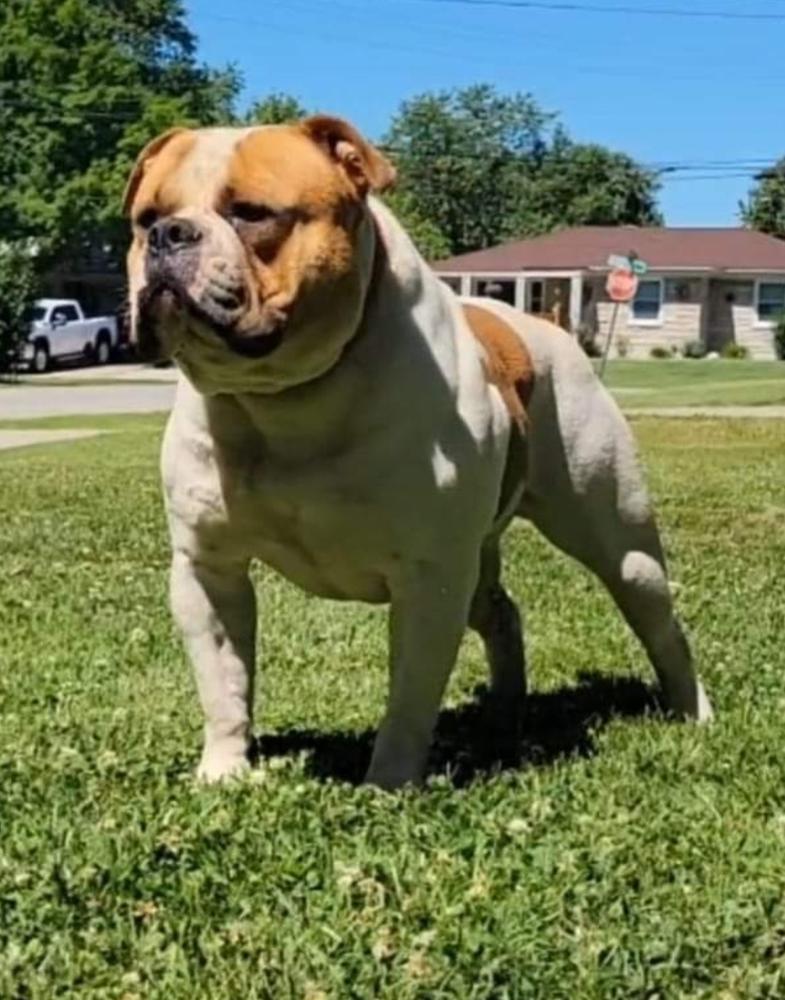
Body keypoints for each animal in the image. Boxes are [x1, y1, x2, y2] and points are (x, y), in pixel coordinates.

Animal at [122, 115, 712, 788]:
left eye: (251, 214)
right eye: (144, 218)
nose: (168, 235)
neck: (285, 396)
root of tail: (548, 328)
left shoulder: (429, 582)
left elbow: (408, 699)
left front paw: (389, 783)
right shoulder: (207, 570)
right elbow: (223, 683)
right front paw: (224, 770)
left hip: (621, 549)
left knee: (662, 626)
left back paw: (693, 711)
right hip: (476, 568)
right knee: (502, 614)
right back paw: (504, 712)